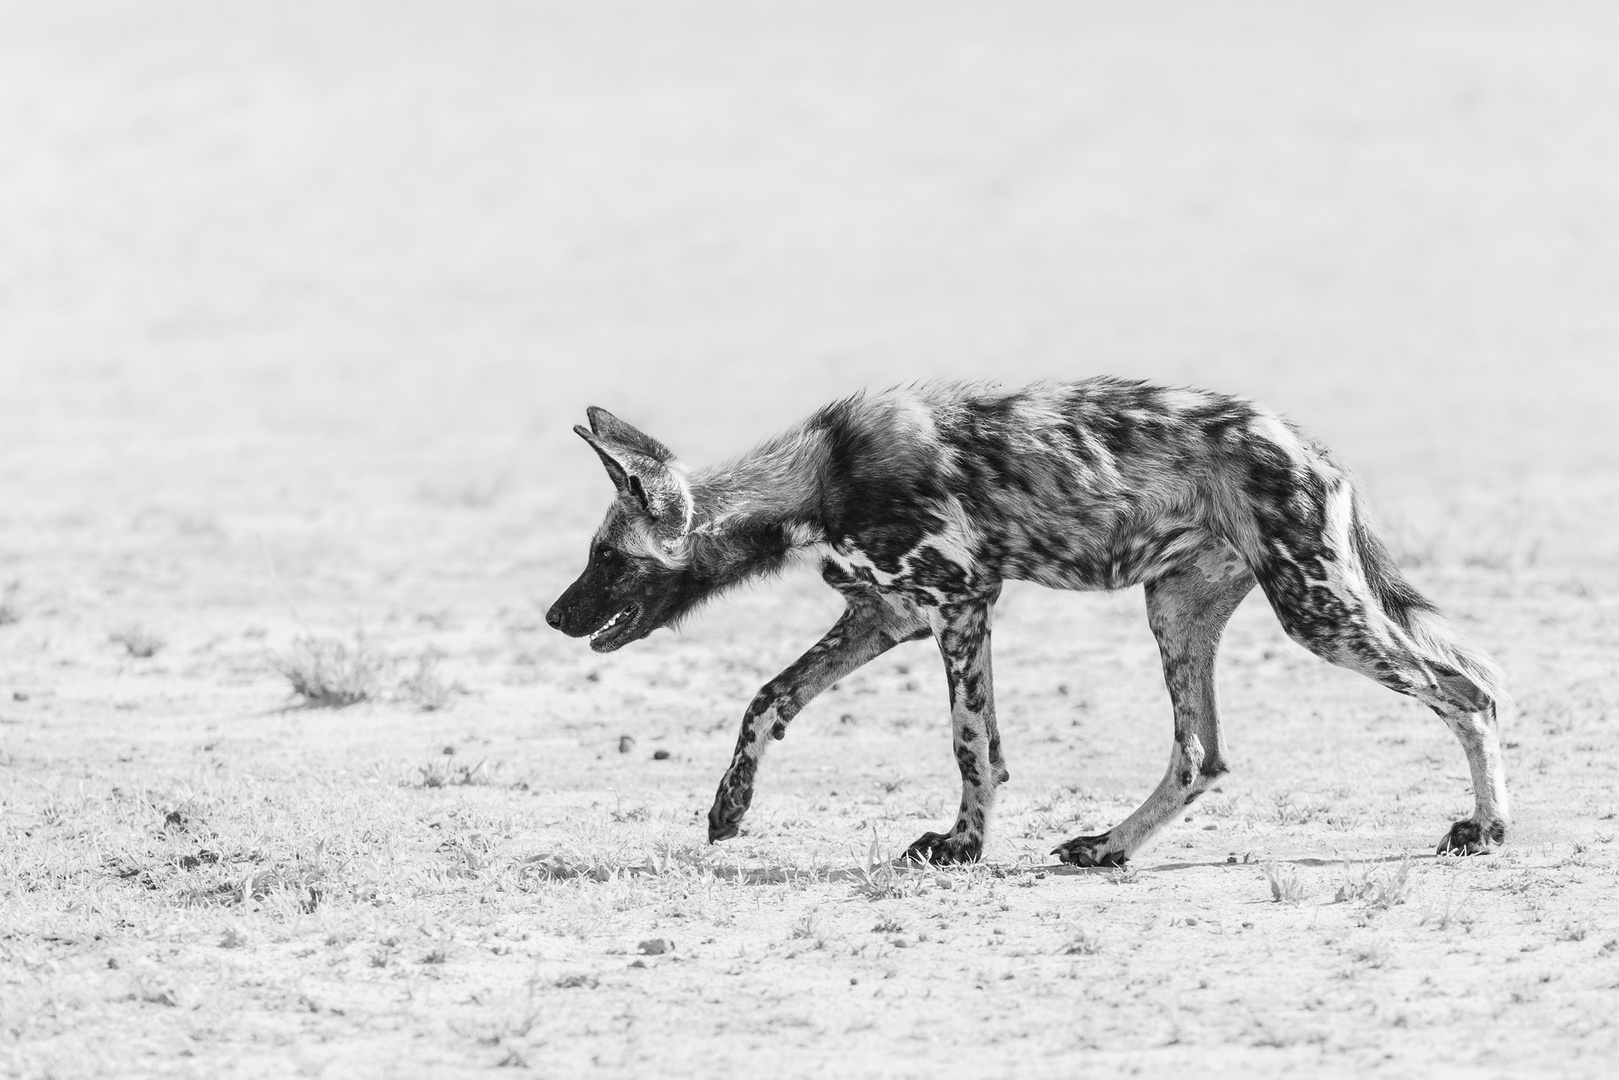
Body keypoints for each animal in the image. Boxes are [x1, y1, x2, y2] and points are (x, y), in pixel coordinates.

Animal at [543, 380, 1502, 867]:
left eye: (605, 557)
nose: (553, 616)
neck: (816, 478)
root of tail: (1313, 450)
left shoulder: (960, 605)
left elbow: (970, 746)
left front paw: (962, 847)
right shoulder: (886, 616)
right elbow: (766, 700)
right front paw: (728, 810)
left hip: (1317, 614)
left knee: (1469, 695)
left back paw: (1484, 832)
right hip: (1176, 614)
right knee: (1198, 755)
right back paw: (1107, 847)